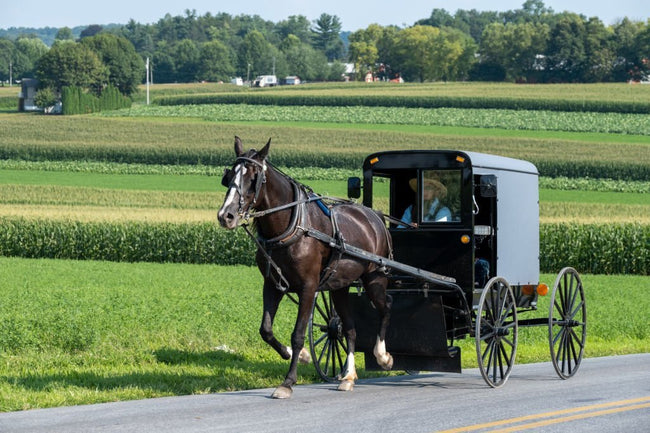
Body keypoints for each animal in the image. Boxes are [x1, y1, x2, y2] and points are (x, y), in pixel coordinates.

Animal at [218, 137, 392, 396]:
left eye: (253, 177)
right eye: (229, 175)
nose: (226, 215)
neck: (291, 227)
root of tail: (375, 216)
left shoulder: (308, 287)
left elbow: (298, 334)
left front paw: (288, 382)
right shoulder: (272, 285)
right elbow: (266, 330)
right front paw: (300, 356)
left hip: (375, 279)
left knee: (385, 307)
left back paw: (382, 356)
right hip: (339, 286)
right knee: (349, 328)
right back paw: (348, 377)